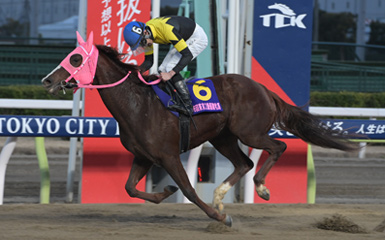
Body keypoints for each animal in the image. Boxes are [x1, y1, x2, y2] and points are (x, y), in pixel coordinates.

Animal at [41, 32, 354, 227]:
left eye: (76, 59)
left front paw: (219, 218)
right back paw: (220, 197)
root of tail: (263, 88)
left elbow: (189, 190)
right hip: (222, 137)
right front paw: (166, 191)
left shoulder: (168, 155)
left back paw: (260, 189)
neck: (138, 104)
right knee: (245, 162)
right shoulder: (144, 156)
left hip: (249, 132)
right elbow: (130, 188)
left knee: (278, 147)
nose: (47, 81)